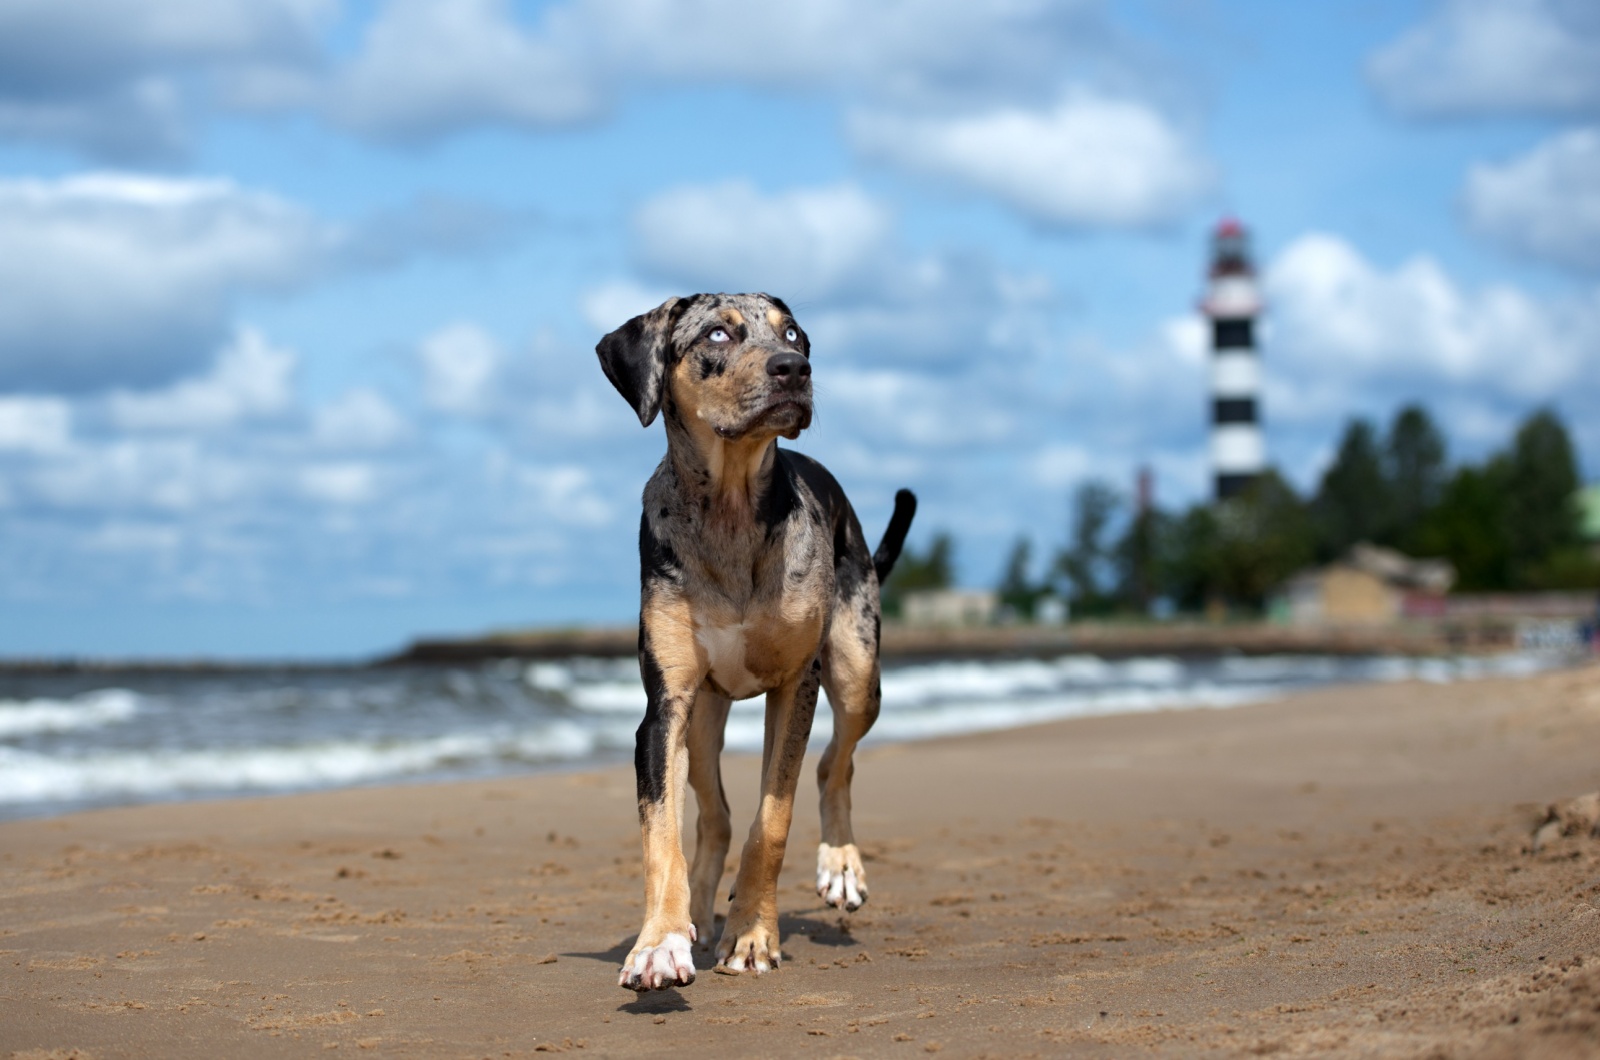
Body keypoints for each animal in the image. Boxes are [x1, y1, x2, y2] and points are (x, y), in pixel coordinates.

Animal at [595, 293, 915, 999]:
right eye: (718, 334)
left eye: (793, 334)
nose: (794, 369)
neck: (731, 508)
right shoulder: (665, 707)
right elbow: (663, 836)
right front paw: (660, 943)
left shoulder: (797, 683)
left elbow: (773, 819)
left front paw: (751, 938)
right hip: (705, 717)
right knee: (712, 818)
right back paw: (697, 915)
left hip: (857, 668)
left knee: (835, 764)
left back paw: (840, 865)